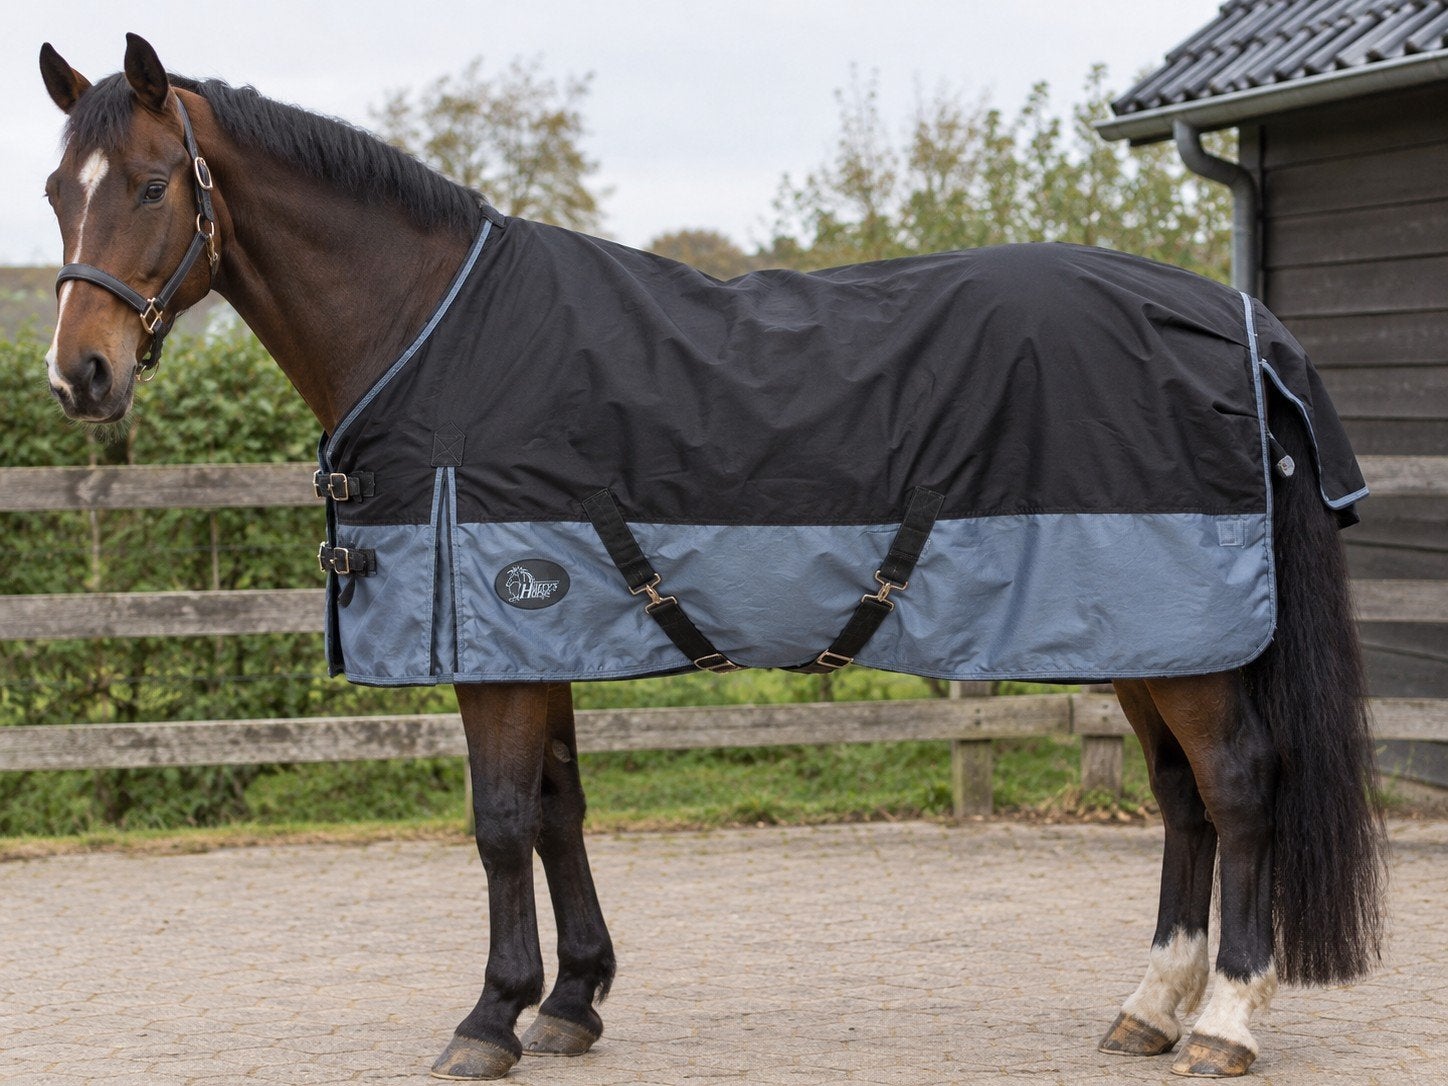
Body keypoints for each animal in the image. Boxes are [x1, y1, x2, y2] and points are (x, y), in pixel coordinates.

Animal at [38, 35, 1386, 1081]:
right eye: (56, 188)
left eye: (152, 186)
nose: (78, 375)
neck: (437, 334)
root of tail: (1234, 323)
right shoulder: (549, 625)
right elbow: (558, 810)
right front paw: (571, 1002)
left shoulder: (499, 634)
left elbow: (497, 822)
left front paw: (489, 1018)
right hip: (1144, 631)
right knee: (1179, 798)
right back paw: (1147, 1008)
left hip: (1185, 638)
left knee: (1238, 786)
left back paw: (1222, 1022)